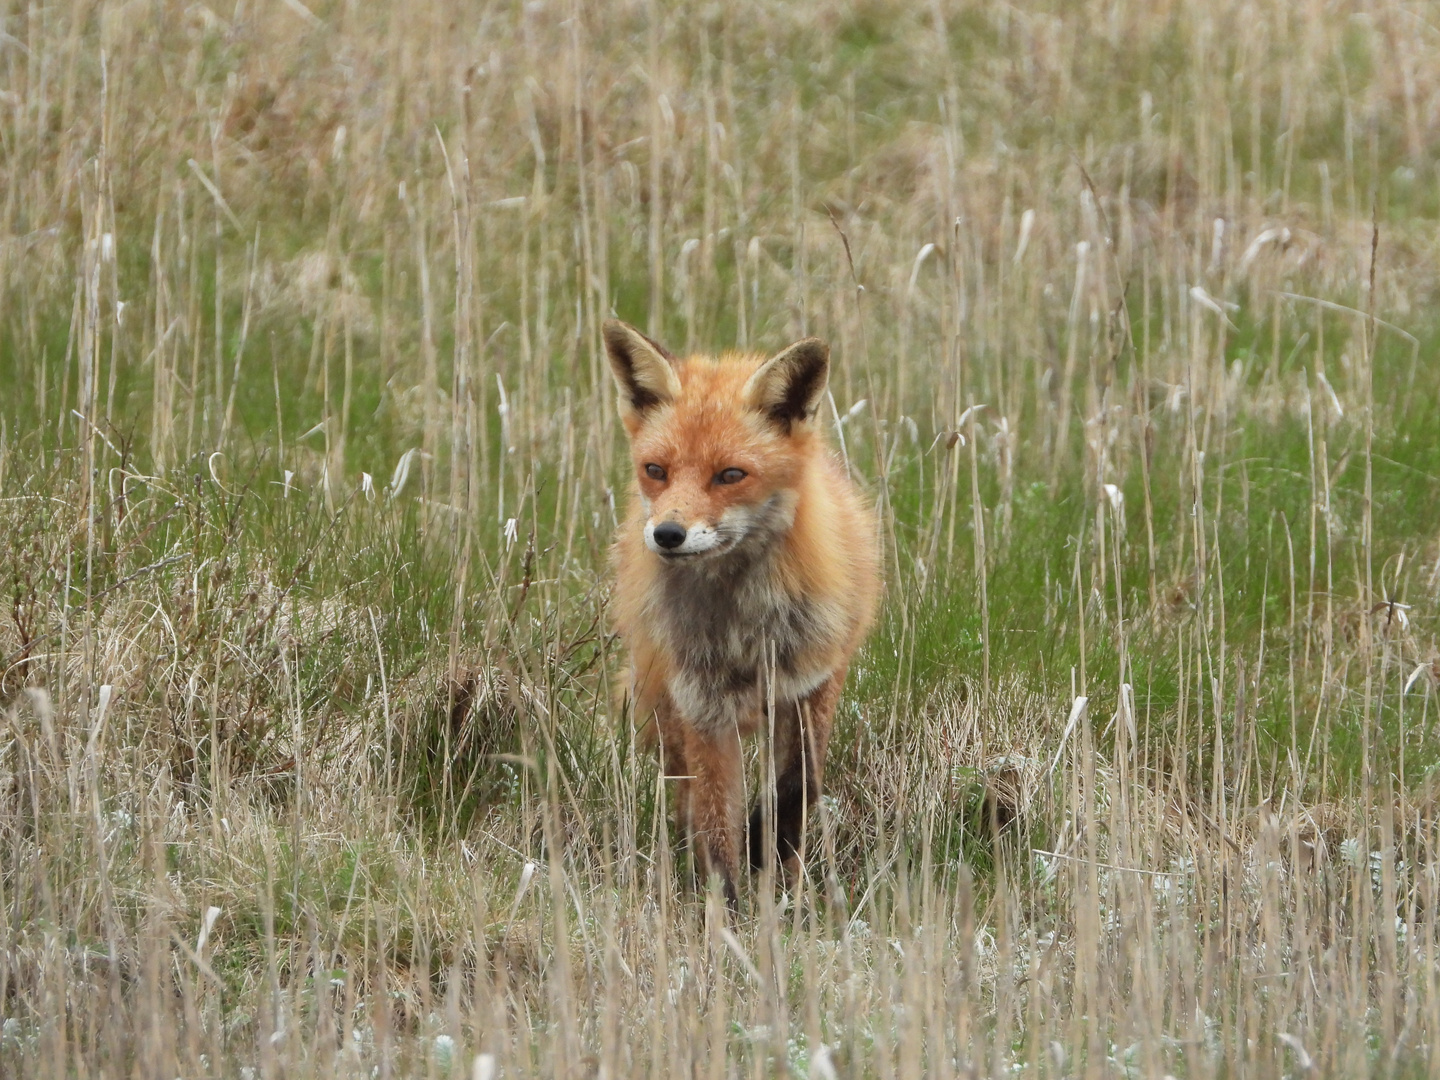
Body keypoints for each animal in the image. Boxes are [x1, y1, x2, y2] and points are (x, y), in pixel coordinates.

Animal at [604, 319, 881, 904]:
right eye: (656, 470)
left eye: (730, 475)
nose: (668, 534)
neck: (745, 628)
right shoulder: (703, 705)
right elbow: (714, 821)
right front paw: (726, 909)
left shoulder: (813, 683)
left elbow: (796, 788)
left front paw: (772, 861)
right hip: (666, 702)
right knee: (683, 791)